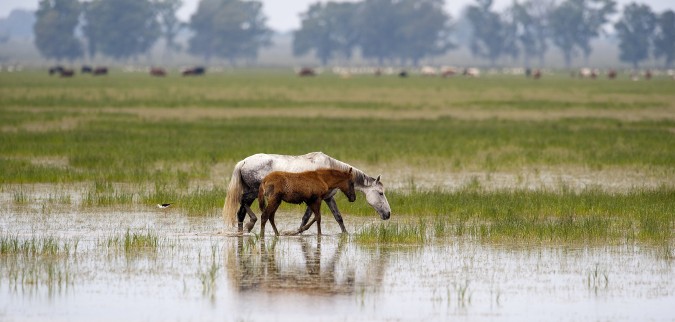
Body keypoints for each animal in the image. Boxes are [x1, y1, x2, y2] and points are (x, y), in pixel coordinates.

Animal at [224, 152, 390, 233]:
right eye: (380, 193)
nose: (388, 214)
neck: (327, 171)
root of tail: (243, 162)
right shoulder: (315, 198)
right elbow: (307, 218)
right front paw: (298, 232)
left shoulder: (328, 198)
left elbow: (338, 217)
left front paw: (345, 235)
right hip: (254, 191)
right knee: (242, 202)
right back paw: (251, 223)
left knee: (240, 212)